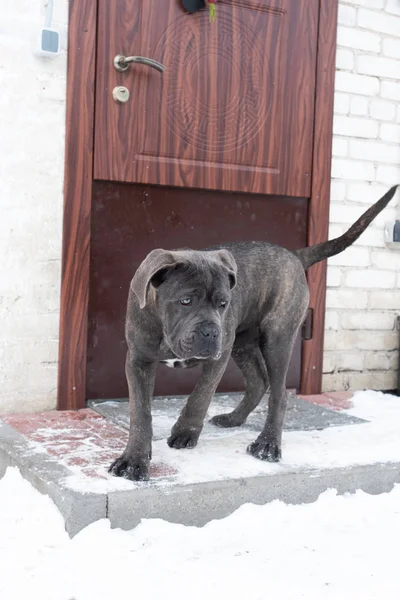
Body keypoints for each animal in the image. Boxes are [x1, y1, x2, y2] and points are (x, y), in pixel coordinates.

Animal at [108, 185, 396, 480]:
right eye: (186, 301)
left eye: (223, 303)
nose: (211, 332)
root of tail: (294, 255)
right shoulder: (139, 361)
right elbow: (140, 412)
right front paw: (134, 459)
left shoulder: (218, 358)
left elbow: (200, 395)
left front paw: (185, 432)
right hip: (242, 344)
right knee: (259, 381)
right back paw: (233, 418)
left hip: (276, 340)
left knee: (279, 395)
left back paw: (268, 444)